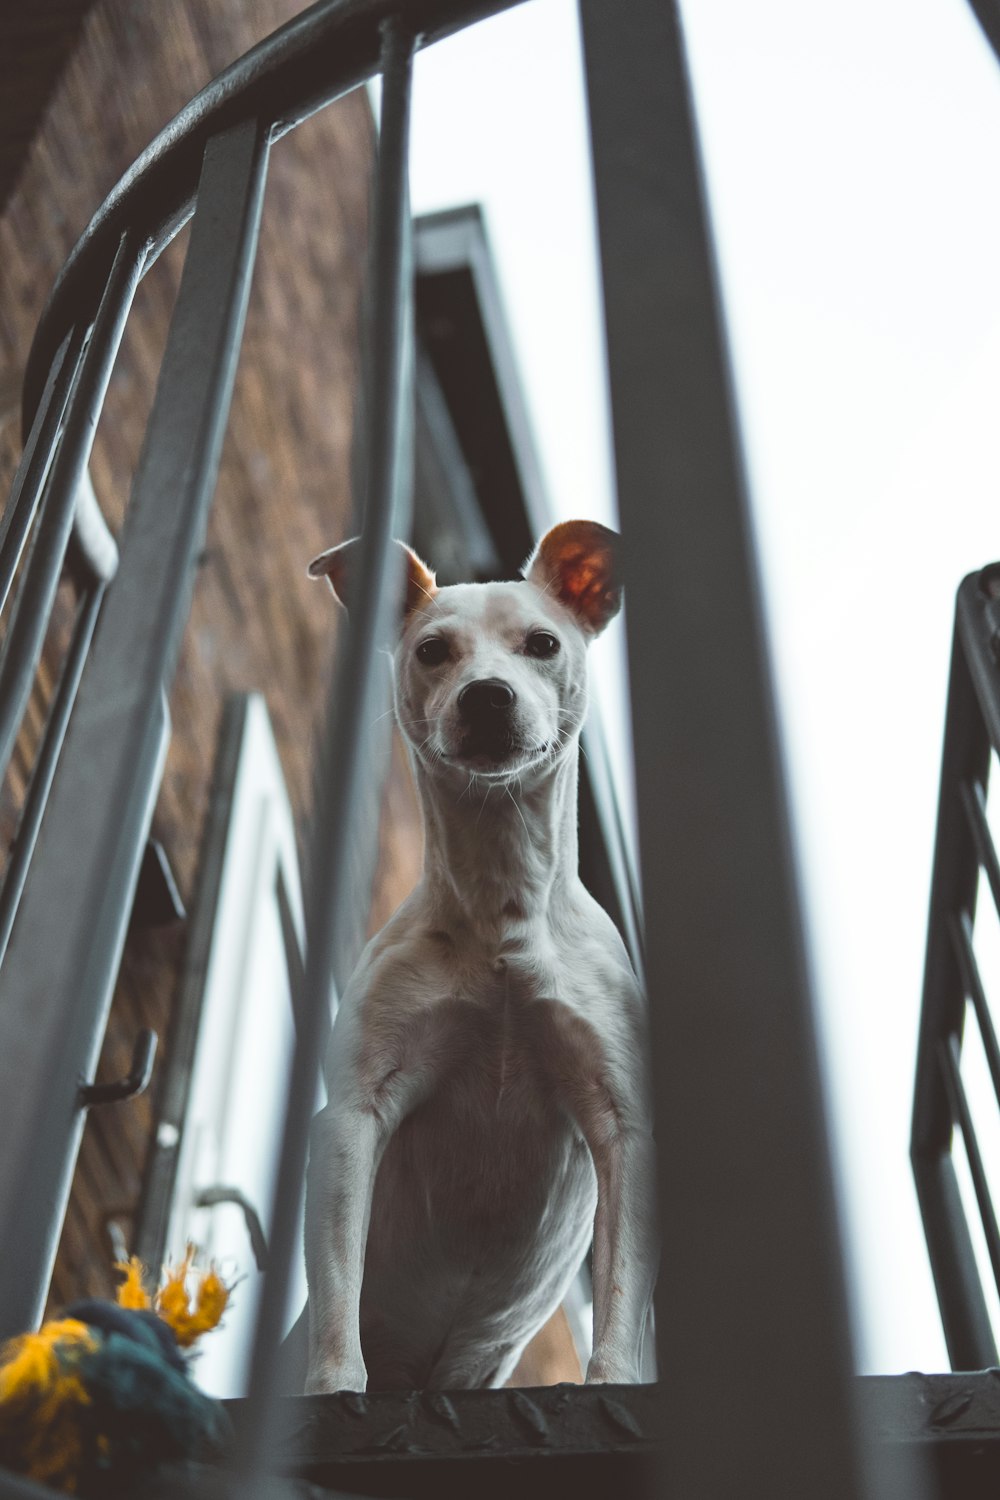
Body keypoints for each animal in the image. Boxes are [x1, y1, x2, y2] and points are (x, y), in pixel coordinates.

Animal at [301, 522, 653, 1386]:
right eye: (434, 651)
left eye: (542, 643)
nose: (486, 696)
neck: (500, 908)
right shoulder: (353, 1118)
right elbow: (338, 1289)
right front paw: (334, 1386)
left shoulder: (623, 1124)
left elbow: (622, 1293)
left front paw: (614, 1380)